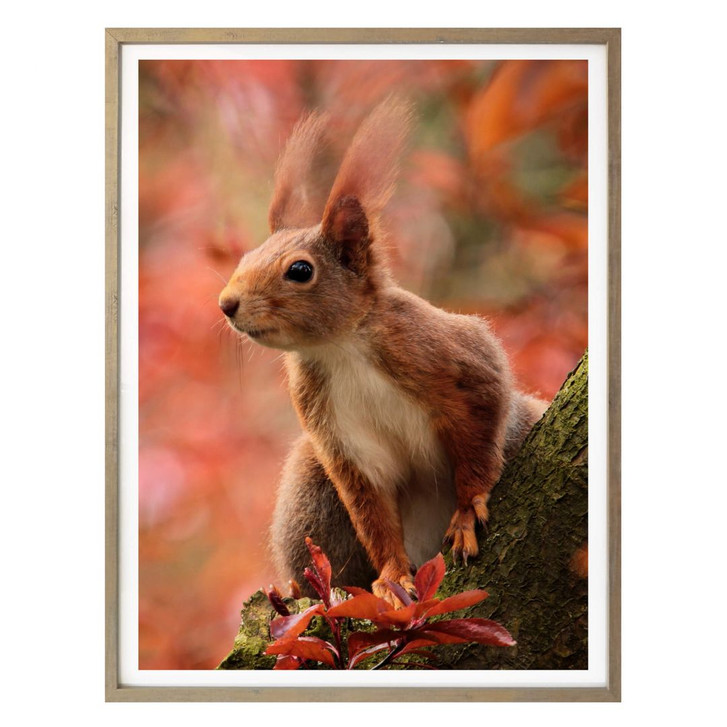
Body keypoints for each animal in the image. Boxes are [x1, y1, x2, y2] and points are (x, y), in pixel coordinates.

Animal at [218, 99, 547, 606]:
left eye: (300, 270)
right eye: (244, 258)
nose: (226, 303)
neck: (339, 349)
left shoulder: (453, 359)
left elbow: (481, 427)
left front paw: (467, 510)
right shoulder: (339, 440)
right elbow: (371, 510)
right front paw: (392, 578)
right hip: (308, 486)